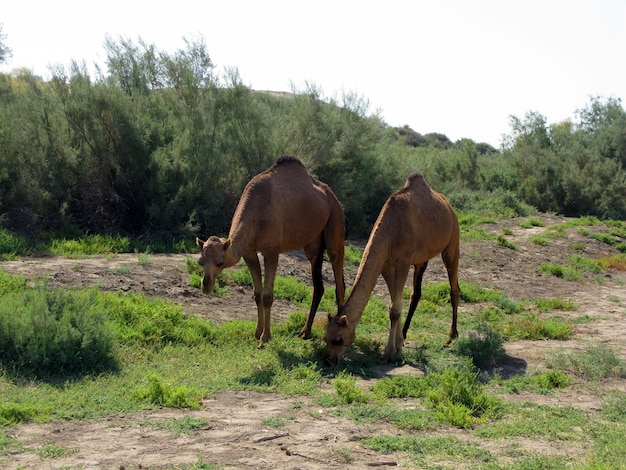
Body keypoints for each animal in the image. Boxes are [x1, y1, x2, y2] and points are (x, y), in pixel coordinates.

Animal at [195, 156, 344, 344]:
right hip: (314, 243)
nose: (206, 285)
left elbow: (267, 296)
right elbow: (257, 294)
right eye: (200, 261)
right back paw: (305, 332)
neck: (257, 212)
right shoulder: (249, 251)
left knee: (339, 278)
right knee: (318, 286)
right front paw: (257, 332)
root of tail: (332, 196)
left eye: (220, 262)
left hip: (335, 221)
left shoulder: (272, 250)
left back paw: (342, 329)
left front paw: (265, 337)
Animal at [322, 171, 458, 366]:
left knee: (454, 288)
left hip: (452, 241)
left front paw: (389, 353)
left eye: (339, 340)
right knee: (416, 292)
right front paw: (399, 345)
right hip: (421, 258)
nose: (327, 360)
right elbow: (394, 303)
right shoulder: (385, 264)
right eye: (325, 338)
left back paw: (451, 337)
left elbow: (394, 309)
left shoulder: (403, 262)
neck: (391, 230)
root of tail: (448, 205)